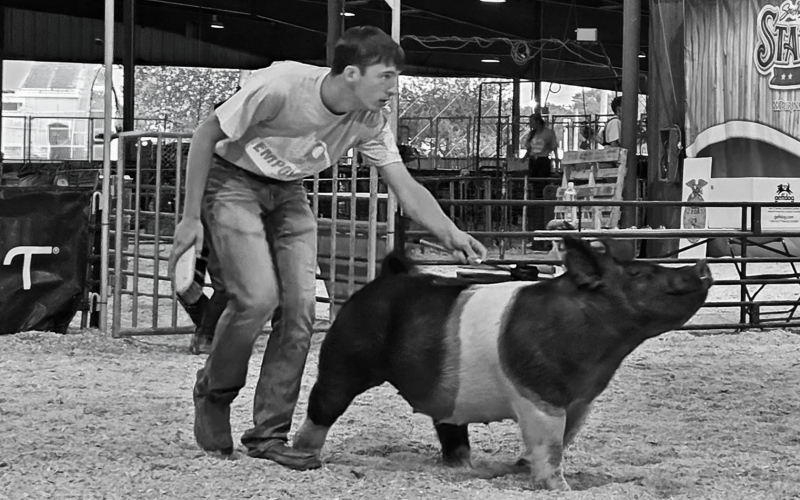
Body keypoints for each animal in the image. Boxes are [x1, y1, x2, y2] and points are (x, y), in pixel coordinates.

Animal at [293, 237, 713, 490]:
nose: (702, 265)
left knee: (450, 430)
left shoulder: (580, 402)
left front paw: (520, 468)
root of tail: (383, 279)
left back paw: (470, 469)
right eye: (639, 273)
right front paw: (560, 488)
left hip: (446, 394)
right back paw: (304, 456)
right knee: (322, 405)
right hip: (345, 360)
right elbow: (550, 445)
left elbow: (562, 439)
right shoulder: (539, 397)